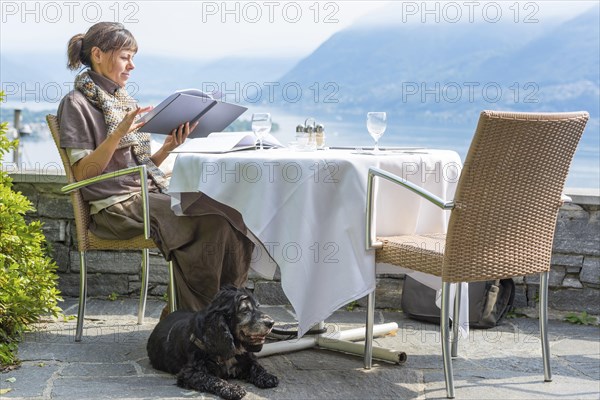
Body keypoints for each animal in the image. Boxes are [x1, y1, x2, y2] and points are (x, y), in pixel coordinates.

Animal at [146, 286, 278, 398]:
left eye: (258, 307)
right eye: (245, 310)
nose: (271, 323)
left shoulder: (245, 357)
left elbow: (255, 365)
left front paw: (267, 377)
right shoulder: (190, 373)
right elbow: (214, 379)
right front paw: (232, 389)